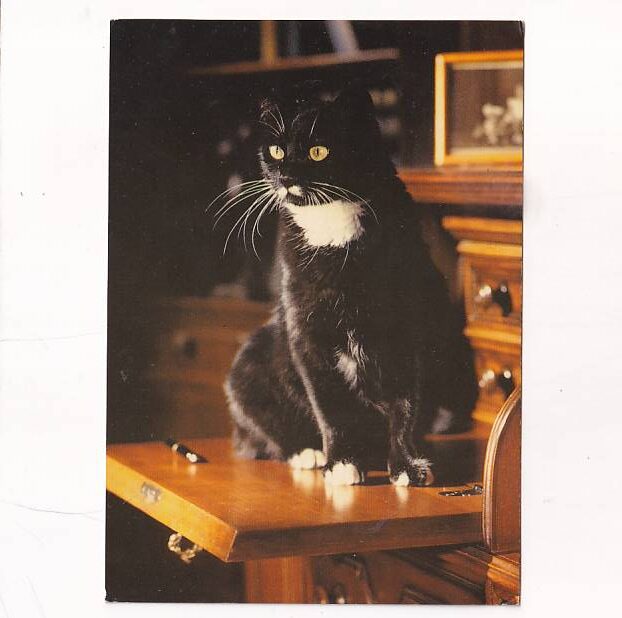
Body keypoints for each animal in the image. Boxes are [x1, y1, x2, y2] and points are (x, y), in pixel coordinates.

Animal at [222, 83, 478, 487]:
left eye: (318, 150)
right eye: (277, 150)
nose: (287, 176)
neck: (331, 227)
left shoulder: (408, 331)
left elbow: (407, 405)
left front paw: (406, 466)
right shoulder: (305, 334)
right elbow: (329, 404)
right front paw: (341, 463)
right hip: (249, 363)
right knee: (258, 428)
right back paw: (306, 452)